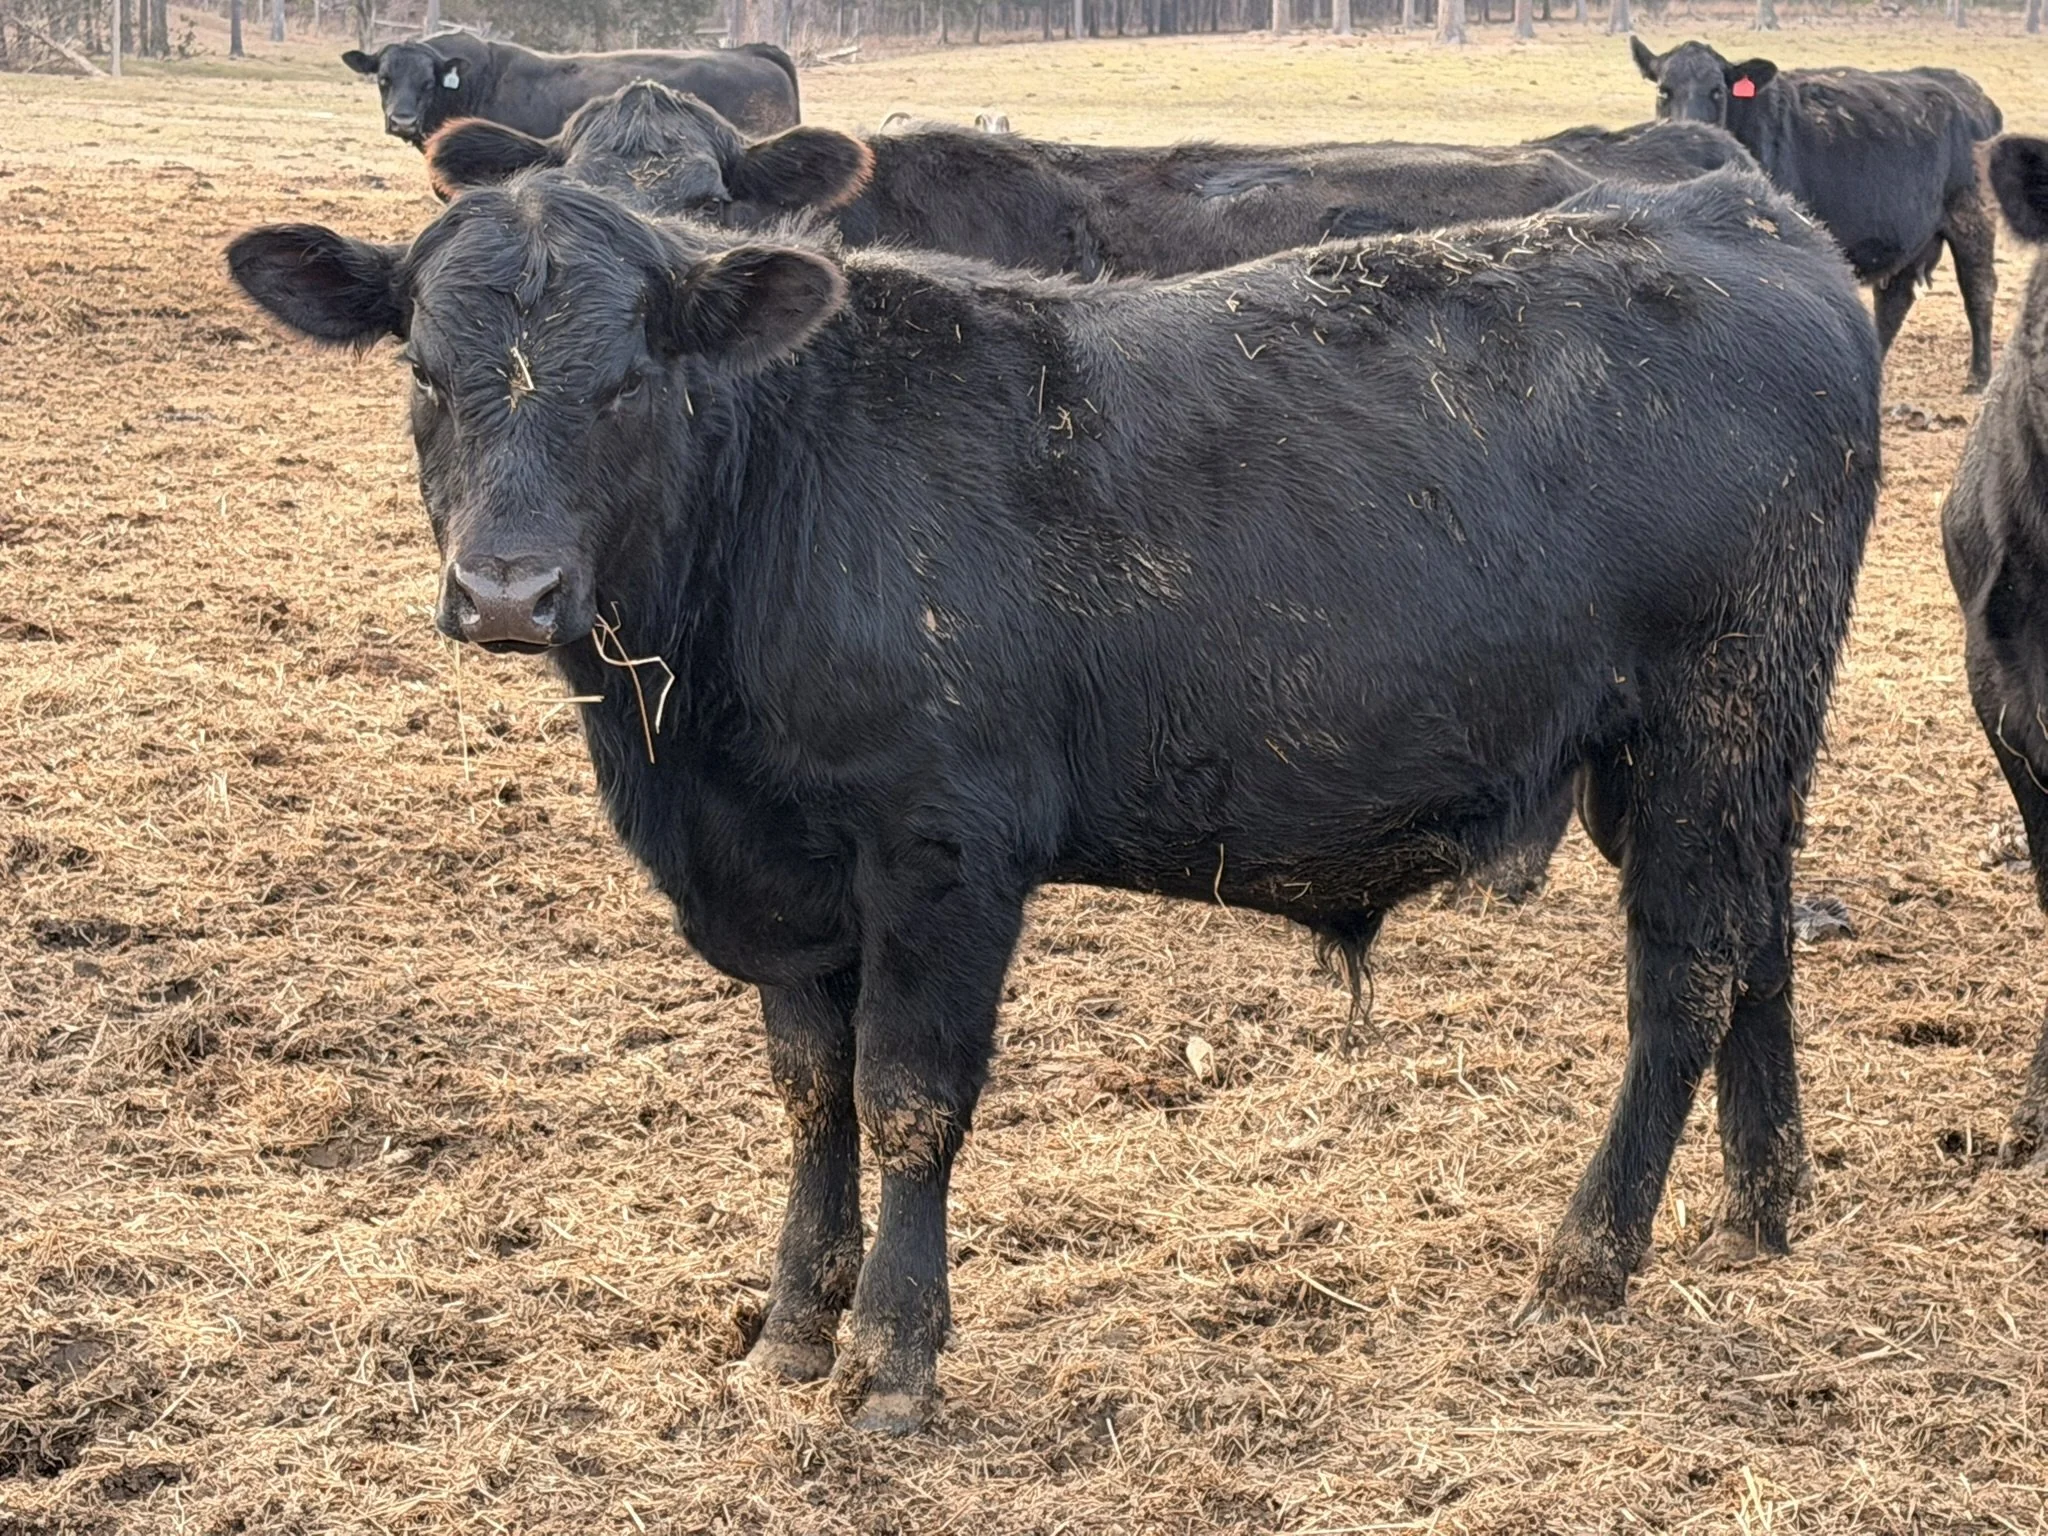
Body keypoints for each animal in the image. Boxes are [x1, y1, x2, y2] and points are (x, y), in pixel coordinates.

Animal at [224, 164, 1880, 1432]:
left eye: (633, 384)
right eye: (424, 376)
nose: (507, 591)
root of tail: (1738, 209)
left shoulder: (941, 851)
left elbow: (904, 1100)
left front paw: (888, 1365)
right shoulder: (794, 882)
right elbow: (810, 1095)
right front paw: (789, 1336)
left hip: (1712, 717)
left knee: (1688, 972)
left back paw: (1587, 1265)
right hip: (1713, 754)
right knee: (1762, 938)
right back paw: (1763, 1211)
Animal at [1631, 37, 2001, 389]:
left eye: (1717, 90)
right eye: (1664, 90)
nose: (1689, 130)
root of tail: (1970, 90)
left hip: (1972, 217)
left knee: (1978, 287)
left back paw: (1979, 375)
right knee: (1894, 299)